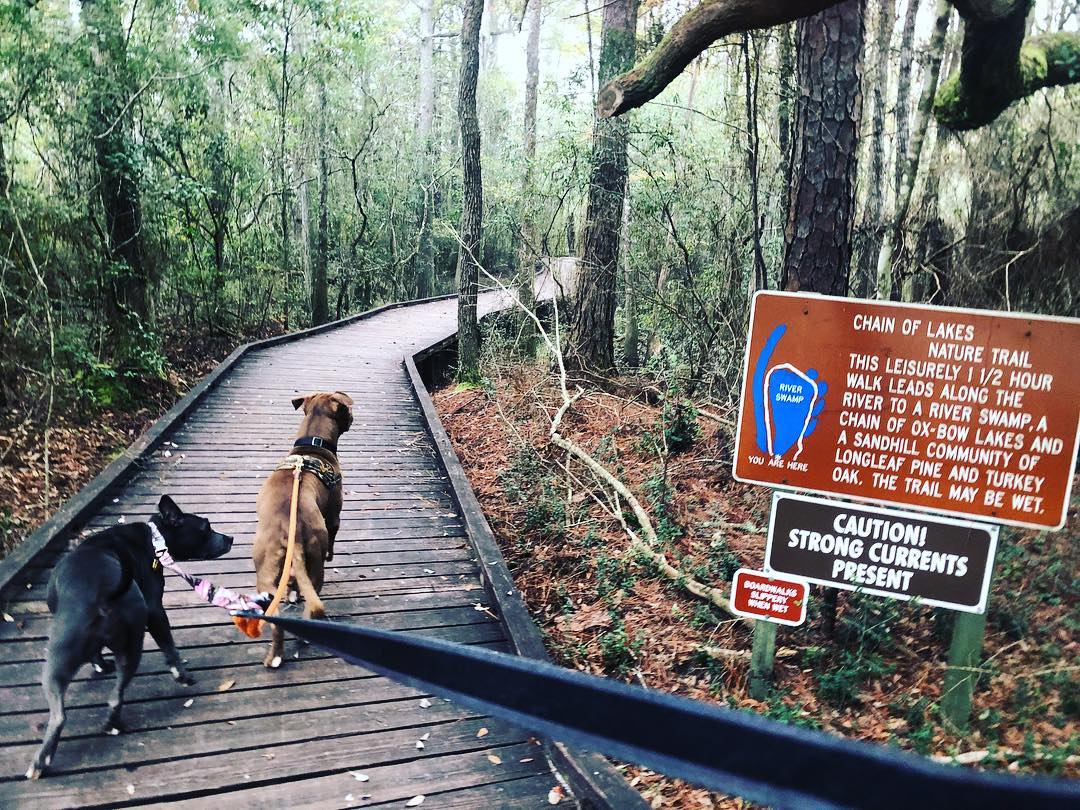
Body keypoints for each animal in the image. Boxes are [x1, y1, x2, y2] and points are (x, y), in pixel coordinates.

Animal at [24, 494, 232, 781]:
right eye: (206, 527)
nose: (230, 538)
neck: (155, 538)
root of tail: (102, 595)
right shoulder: (154, 610)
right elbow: (166, 647)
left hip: (57, 659)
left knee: (59, 715)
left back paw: (41, 761)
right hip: (131, 646)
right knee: (115, 695)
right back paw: (113, 723)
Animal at [252, 390, 354, 665]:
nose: (353, 417)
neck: (313, 445)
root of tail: (292, 533)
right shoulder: (334, 517)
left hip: (267, 574)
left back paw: (275, 656)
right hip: (316, 565)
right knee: (312, 607)